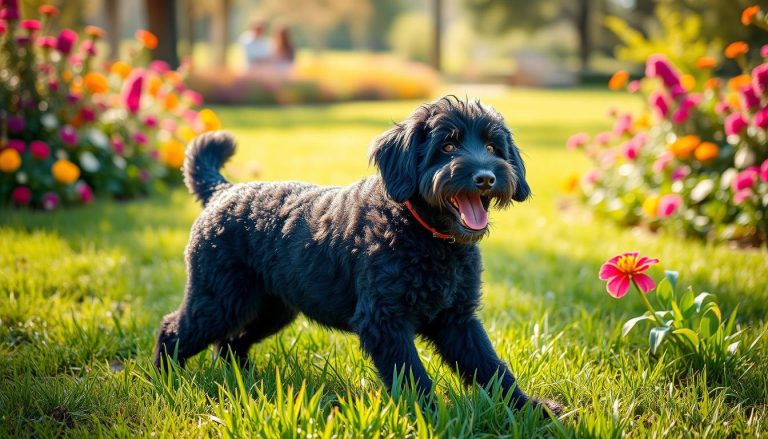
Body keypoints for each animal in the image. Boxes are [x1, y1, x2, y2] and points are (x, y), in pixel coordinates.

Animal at [154, 96, 564, 416]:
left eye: (493, 148)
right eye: (447, 147)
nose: (485, 178)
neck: (424, 237)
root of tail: (224, 191)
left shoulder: (457, 319)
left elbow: (490, 367)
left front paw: (533, 409)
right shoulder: (384, 320)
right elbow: (412, 375)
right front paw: (431, 416)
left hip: (270, 308)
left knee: (230, 342)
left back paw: (242, 380)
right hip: (219, 300)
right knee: (173, 329)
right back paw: (164, 378)